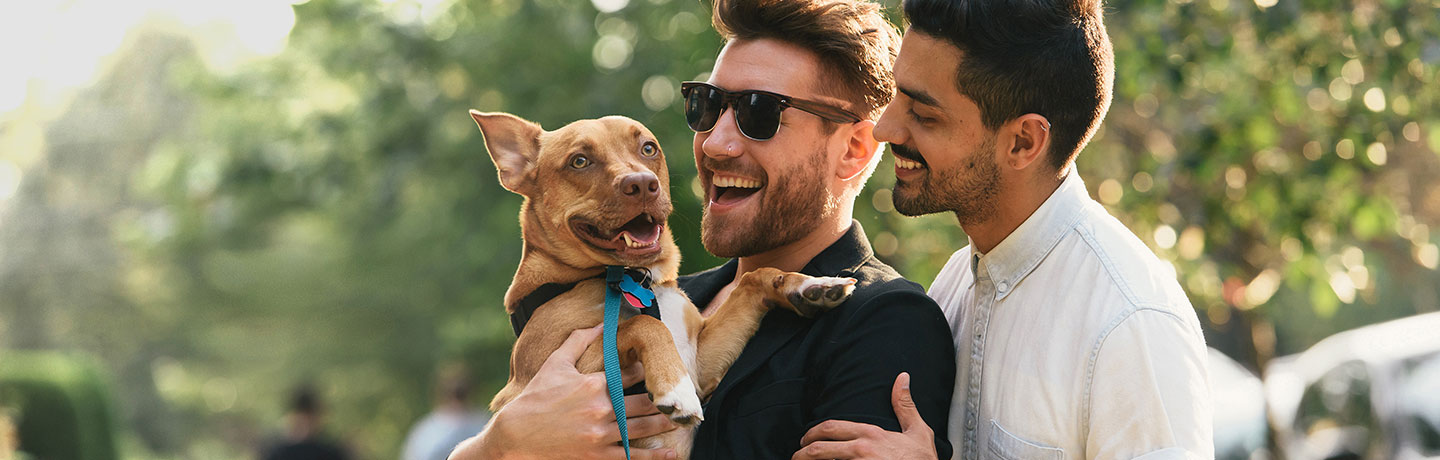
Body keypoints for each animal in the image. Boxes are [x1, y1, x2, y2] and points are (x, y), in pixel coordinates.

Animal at [469, 111, 852, 458]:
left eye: (648, 148)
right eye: (579, 161)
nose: (641, 183)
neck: (635, 279)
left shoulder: (701, 363)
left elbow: (752, 278)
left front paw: (811, 285)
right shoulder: (550, 380)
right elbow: (643, 325)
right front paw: (675, 390)